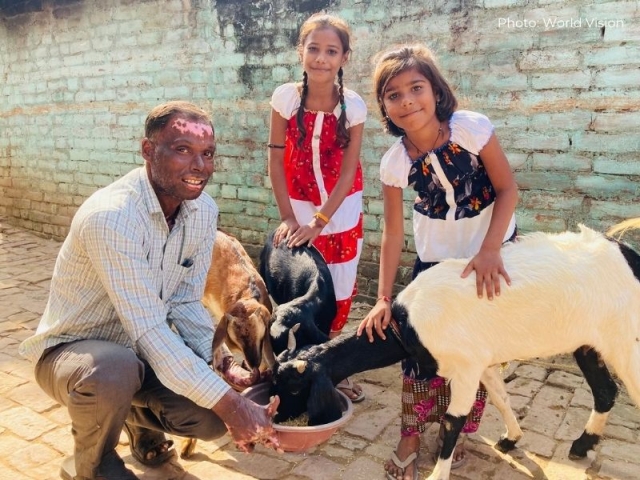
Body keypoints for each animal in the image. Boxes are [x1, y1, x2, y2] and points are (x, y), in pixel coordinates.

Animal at [274, 220, 640, 480]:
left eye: (295, 386)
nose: (279, 417)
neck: (409, 324)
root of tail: (629, 255)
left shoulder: (466, 368)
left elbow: (453, 421)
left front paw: (438, 474)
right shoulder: (483, 362)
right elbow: (501, 399)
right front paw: (511, 438)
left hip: (626, 340)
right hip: (588, 341)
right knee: (605, 391)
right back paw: (581, 444)